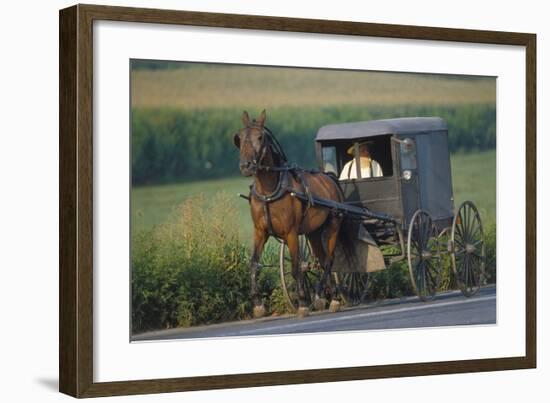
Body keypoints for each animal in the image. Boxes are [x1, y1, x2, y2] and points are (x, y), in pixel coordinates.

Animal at [235, 110, 348, 318]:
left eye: (260, 137)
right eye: (239, 137)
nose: (246, 166)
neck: (270, 191)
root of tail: (329, 178)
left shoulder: (291, 233)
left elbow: (296, 267)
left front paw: (303, 302)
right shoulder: (260, 232)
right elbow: (254, 264)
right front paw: (258, 304)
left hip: (333, 225)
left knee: (329, 260)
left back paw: (328, 297)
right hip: (313, 232)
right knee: (322, 260)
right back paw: (326, 295)